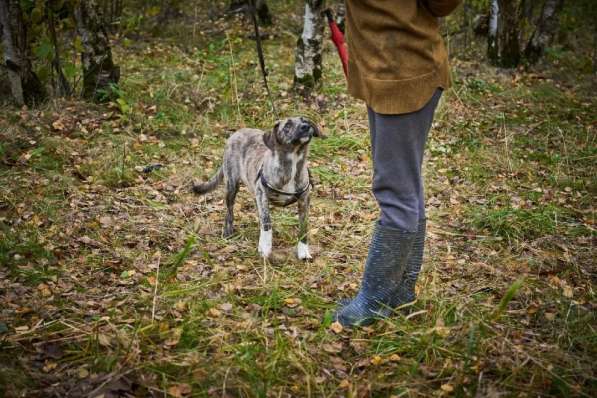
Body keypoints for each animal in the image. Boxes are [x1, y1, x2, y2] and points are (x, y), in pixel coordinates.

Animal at [193, 117, 318, 262]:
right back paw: (228, 231)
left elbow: (303, 228)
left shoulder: (304, 200)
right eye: (287, 125)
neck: (293, 161)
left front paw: (303, 252)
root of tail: (238, 131)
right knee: (229, 210)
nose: (305, 127)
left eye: (306, 121)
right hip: (231, 186)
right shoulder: (262, 194)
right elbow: (267, 221)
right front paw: (265, 249)